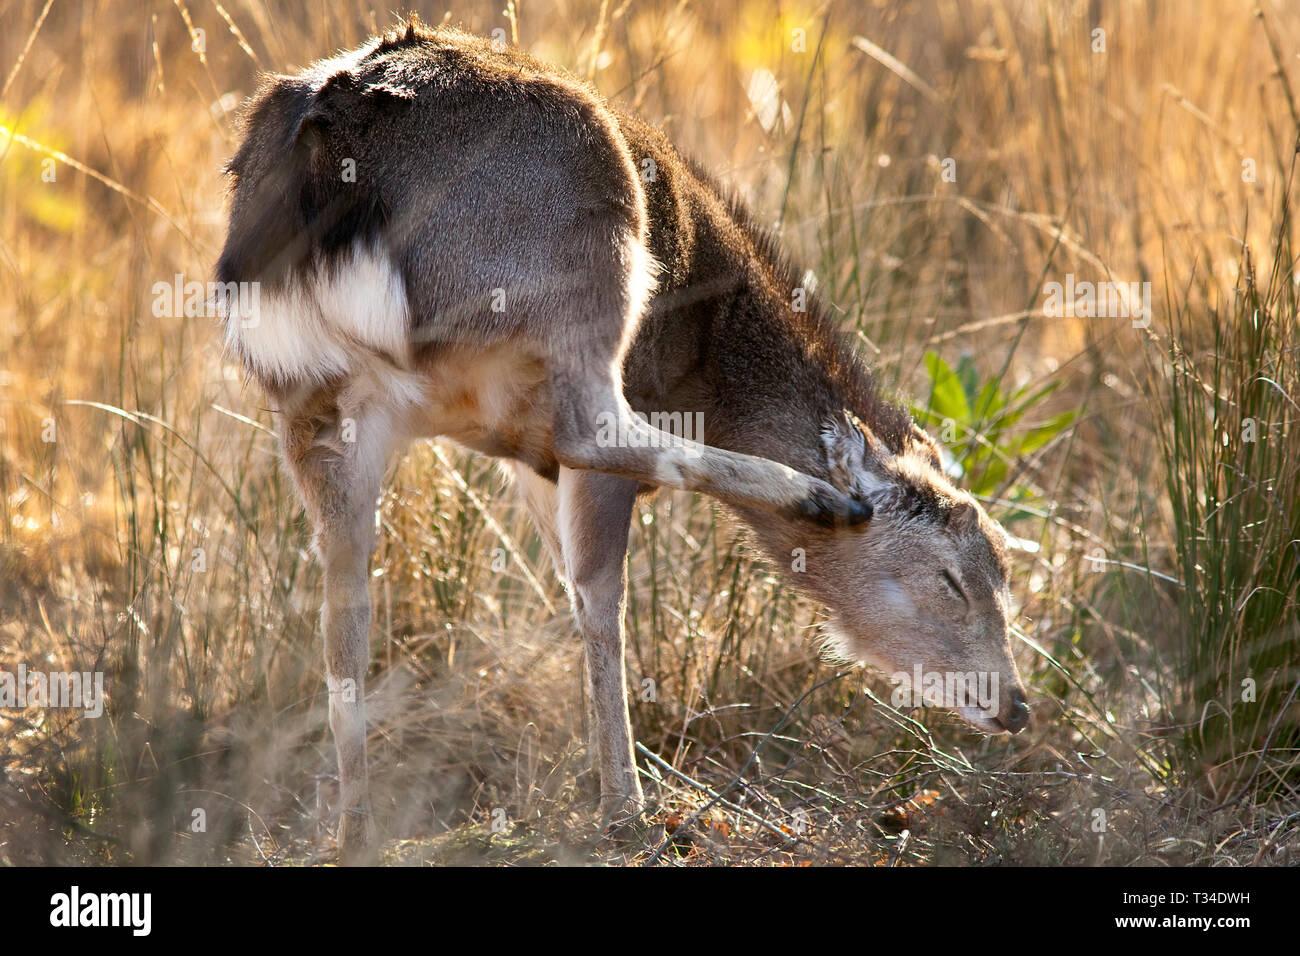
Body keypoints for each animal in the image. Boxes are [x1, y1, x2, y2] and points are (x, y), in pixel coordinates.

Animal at [215, 17, 1030, 864]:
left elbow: (570, 592)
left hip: (310, 398)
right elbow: (597, 593)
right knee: (597, 434)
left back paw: (355, 829)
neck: (712, 367)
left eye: (1005, 576)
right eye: (951, 579)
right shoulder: (555, 439)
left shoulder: (521, 456)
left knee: (342, 603)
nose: (1016, 704)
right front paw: (619, 803)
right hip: (586, 262)